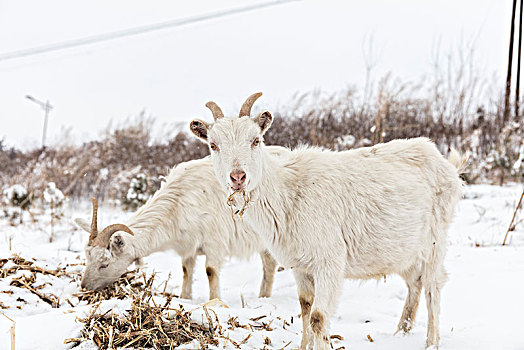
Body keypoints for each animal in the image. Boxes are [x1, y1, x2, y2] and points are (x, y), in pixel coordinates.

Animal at [75, 149, 284, 300]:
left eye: (105, 264)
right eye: (88, 258)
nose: (84, 287)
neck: (179, 202)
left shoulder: (214, 243)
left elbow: (211, 272)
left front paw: (215, 302)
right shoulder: (188, 247)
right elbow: (186, 271)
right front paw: (185, 298)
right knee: (269, 263)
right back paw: (264, 296)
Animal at [189, 93, 466, 350]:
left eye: (255, 140)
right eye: (213, 145)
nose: (238, 177)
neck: (288, 193)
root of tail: (444, 163)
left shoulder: (329, 261)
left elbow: (318, 318)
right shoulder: (300, 265)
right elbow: (304, 307)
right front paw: (303, 346)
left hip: (434, 240)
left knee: (432, 286)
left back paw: (431, 342)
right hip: (401, 249)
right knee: (414, 282)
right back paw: (402, 332)